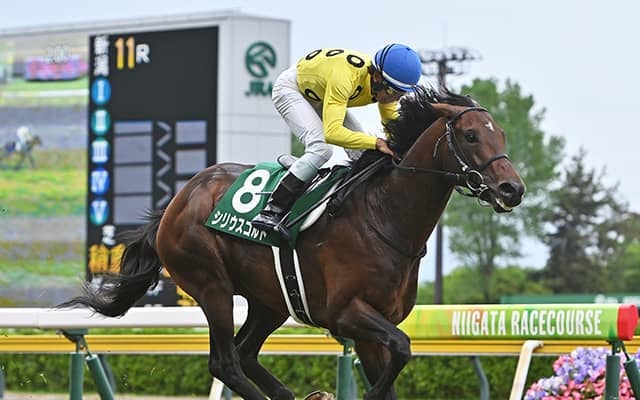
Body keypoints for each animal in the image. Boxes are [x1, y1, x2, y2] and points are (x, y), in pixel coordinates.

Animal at [61, 86, 525, 400]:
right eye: (470, 136)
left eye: (501, 134)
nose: (512, 189)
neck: (385, 217)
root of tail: (178, 199)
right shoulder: (344, 314)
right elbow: (403, 348)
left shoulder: (375, 325)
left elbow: (397, 357)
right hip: (211, 286)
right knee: (226, 362)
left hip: (271, 300)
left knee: (246, 354)